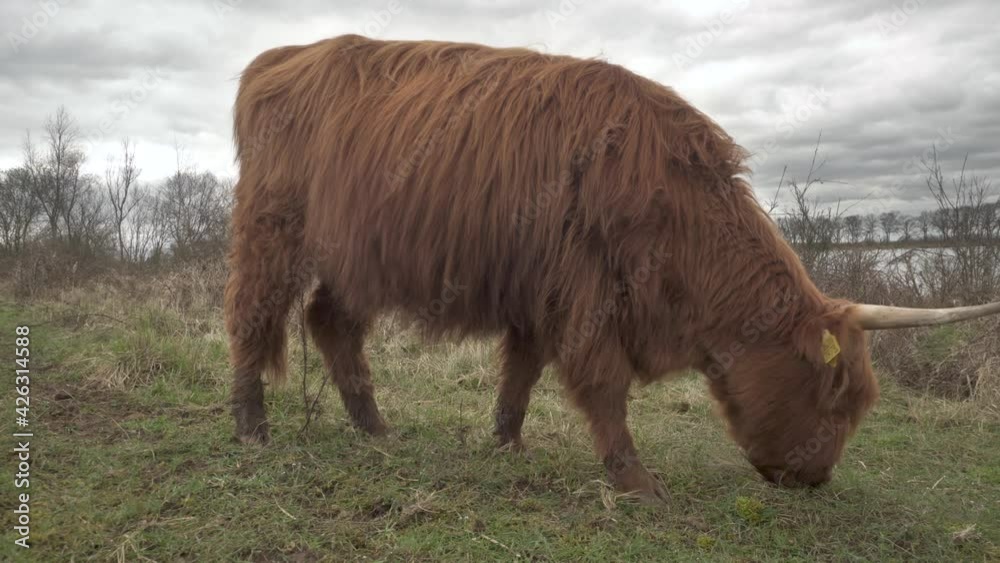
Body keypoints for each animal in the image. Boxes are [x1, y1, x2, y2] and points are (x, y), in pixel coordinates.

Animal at [224, 35, 1000, 503]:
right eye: (836, 396)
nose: (814, 478)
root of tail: (283, 56)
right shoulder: (587, 290)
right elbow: (602, 385)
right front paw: (635, 482)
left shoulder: (540, 293)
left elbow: (522, 371)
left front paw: (506, 443)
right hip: (273, 229)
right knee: (252, 316)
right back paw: (252, 428)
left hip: (356, 254)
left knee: (330, 320)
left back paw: (375, 427)